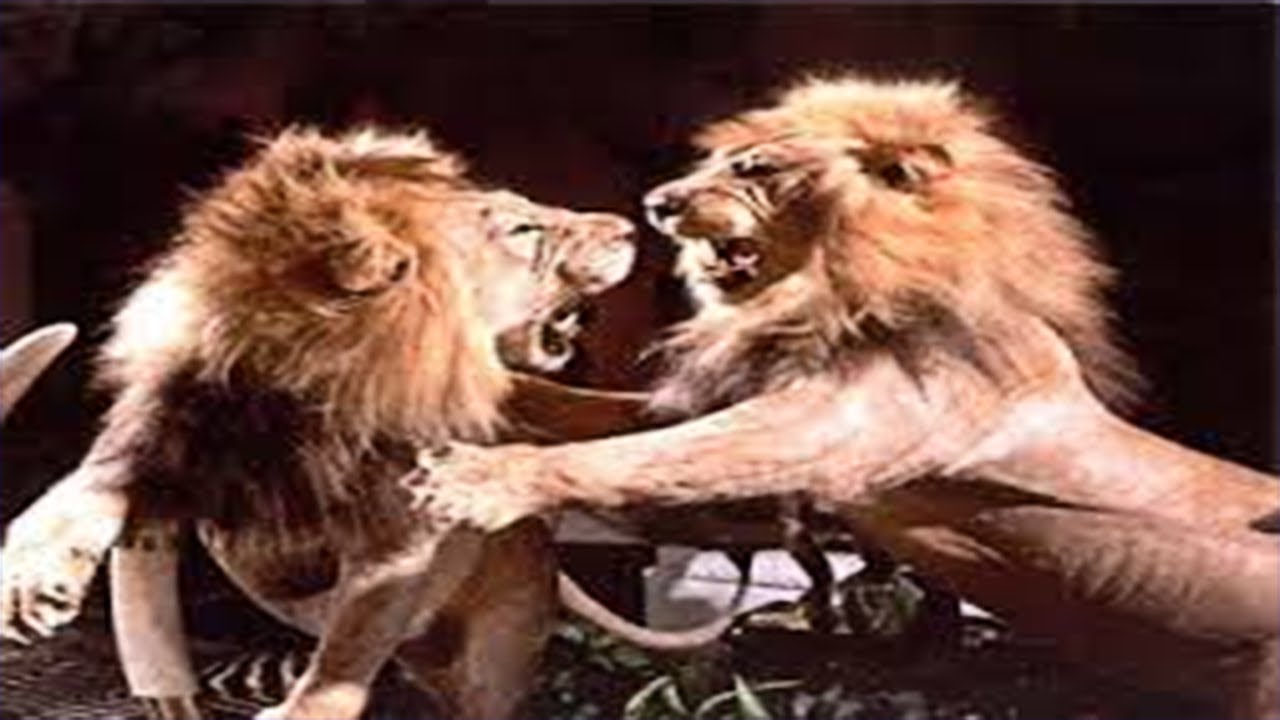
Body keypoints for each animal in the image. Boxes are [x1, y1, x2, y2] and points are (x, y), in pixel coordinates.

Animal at [0, 127, 730, 720]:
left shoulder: (397, 544)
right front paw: (29, 583)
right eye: (522, 230)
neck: (323, 393)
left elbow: (349, 649)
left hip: (498, 639)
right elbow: (83, 488)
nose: (631, 227)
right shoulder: (169, 432)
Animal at [407, 77, 1280, 718]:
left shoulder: (834, 426)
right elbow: (591, 419)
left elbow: (641, 455)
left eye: (755, 171)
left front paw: (479, 480)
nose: (657, 203)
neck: (825, 299)